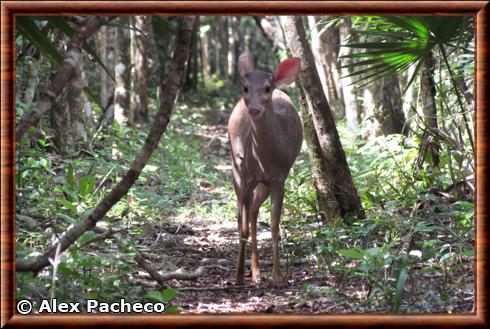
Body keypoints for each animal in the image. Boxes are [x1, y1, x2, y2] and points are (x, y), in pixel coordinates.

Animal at [229, 52, 302, 284]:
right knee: (242, 216)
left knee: (253, 209)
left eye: (267, 88)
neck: (263, 159)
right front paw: (238, 276)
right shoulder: (245, 177)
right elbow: (242, 226)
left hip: (266, 184)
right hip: (235, 168)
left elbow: (275, 227)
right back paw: (251, 272)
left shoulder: (279, 179)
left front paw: (277, 276)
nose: (254, 109)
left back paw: (257, 271)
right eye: (245, 87)